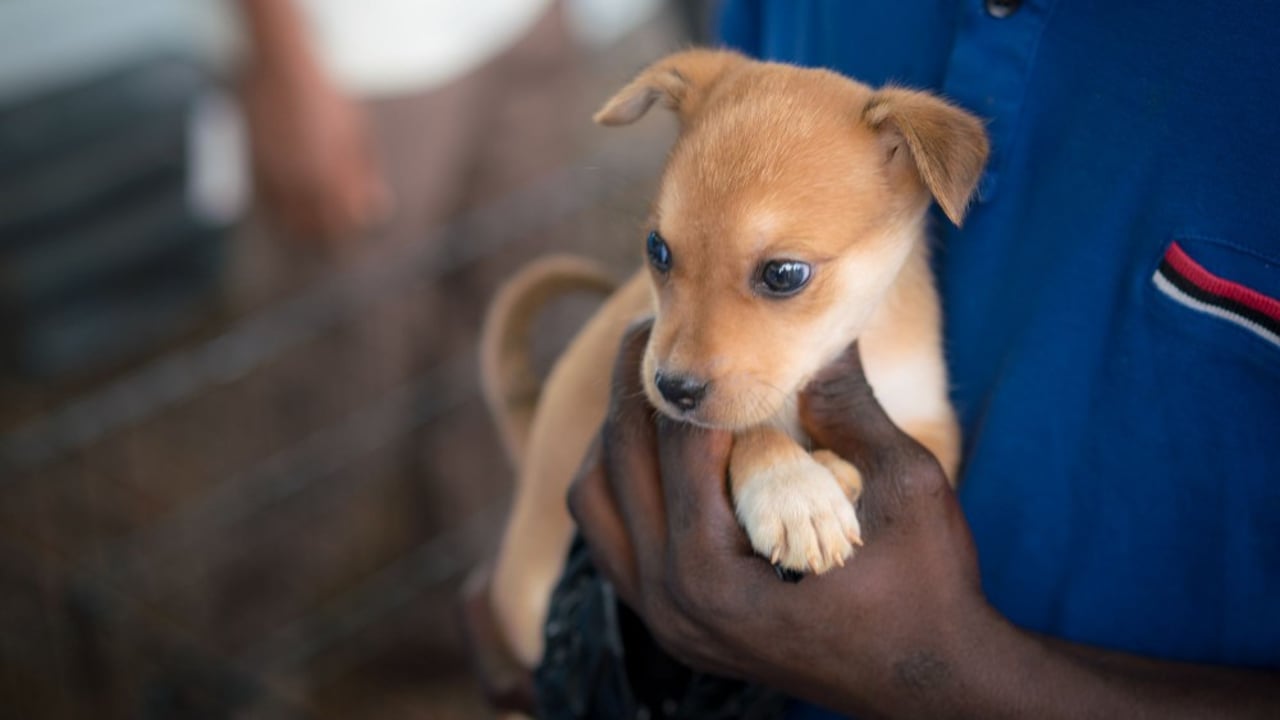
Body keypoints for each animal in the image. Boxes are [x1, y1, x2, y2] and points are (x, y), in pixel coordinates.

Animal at [476, 49, 983, 676]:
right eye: (657, 249)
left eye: (784, 274)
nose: (672, 387)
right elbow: (751, 426)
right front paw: (796, 492)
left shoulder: (928, 423)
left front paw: (825, 473)